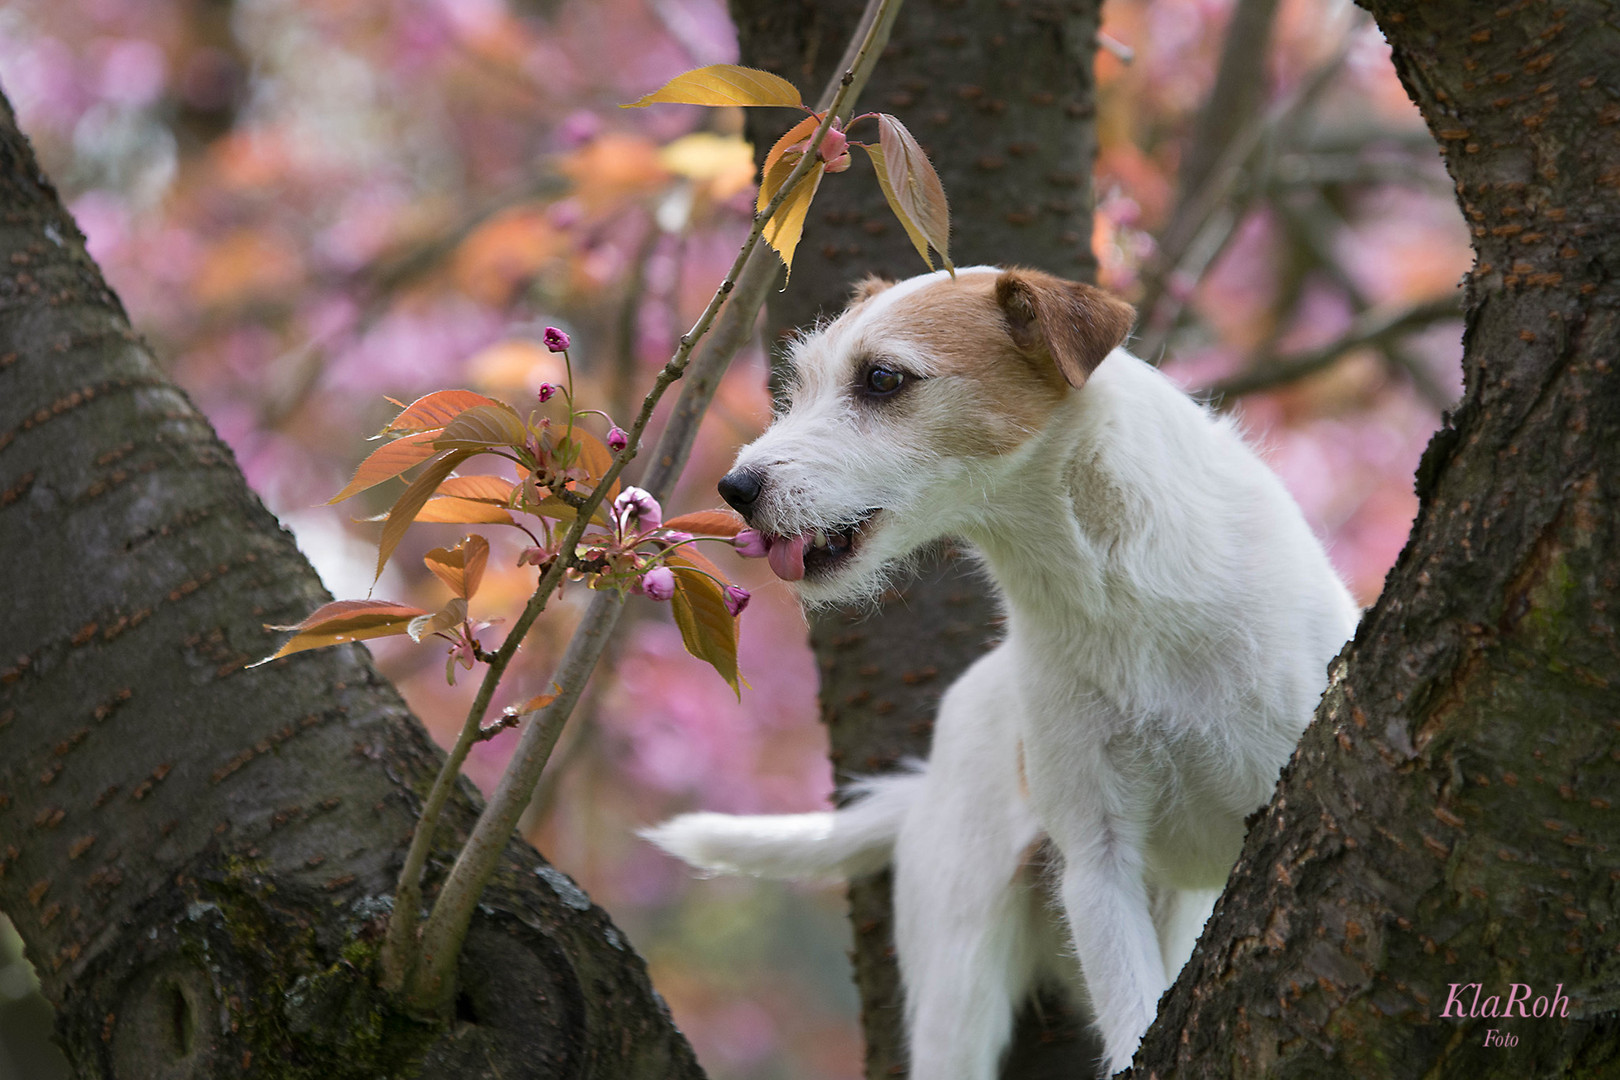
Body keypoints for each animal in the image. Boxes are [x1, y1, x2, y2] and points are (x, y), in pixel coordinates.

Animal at [641, 265, 1354, 1075]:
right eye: (801, 383)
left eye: (882, 379)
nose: (735, 490)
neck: (1114, 583)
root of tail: (923, 787)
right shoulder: (1099, 861)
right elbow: (1131, 1014)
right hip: (961, 979)